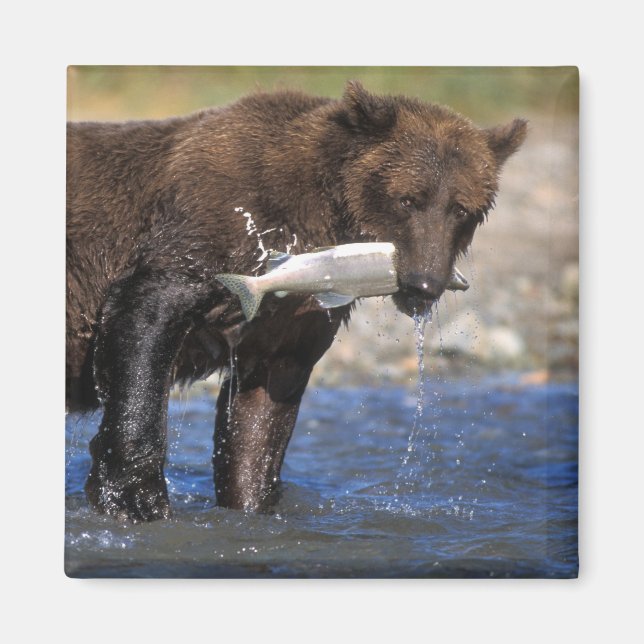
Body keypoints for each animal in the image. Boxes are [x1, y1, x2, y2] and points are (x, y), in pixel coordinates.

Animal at [66, 81, 527, 522]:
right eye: (409, 199)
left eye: (462, 209)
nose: (425, 283)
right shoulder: (208, 230)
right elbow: (146, 321)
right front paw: (135, 498)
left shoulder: (290, 321)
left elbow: (260, 417)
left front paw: (250, 500)